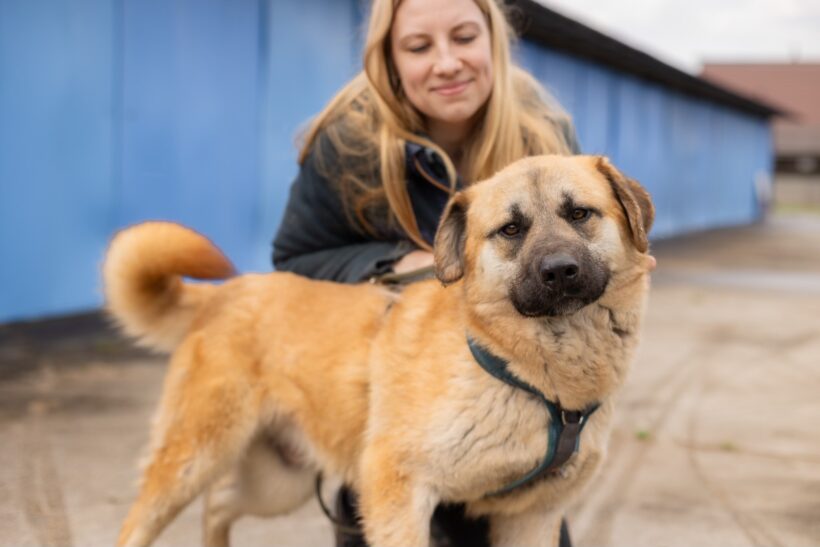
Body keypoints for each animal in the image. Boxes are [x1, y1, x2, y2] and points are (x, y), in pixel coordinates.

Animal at [105, 155, 654, 547]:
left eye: (579, 214)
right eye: (511, 229)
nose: (559, 271)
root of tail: (223, 293)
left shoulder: (531, 516)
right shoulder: (396, 491)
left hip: (278, 483)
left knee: (218, 504)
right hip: (193, 458)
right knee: (140, 524)